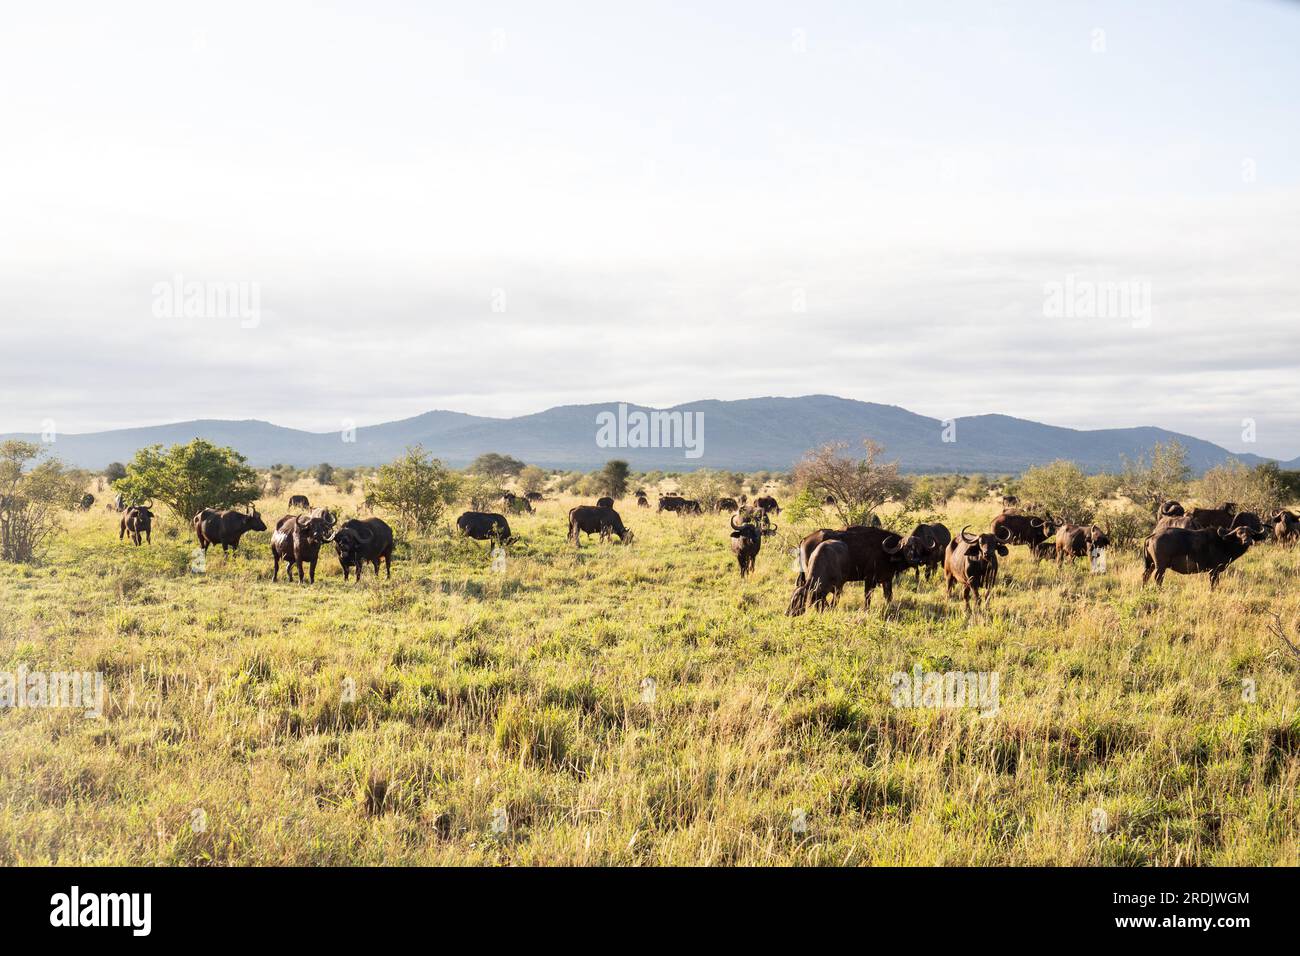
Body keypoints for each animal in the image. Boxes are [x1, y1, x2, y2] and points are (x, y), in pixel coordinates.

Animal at [780, 528, 915, 616]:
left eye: (797, 599)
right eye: (792, 599)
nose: (787, 613)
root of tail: (804, 539)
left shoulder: (884, 579)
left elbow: (886, 596)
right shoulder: (871, 579)